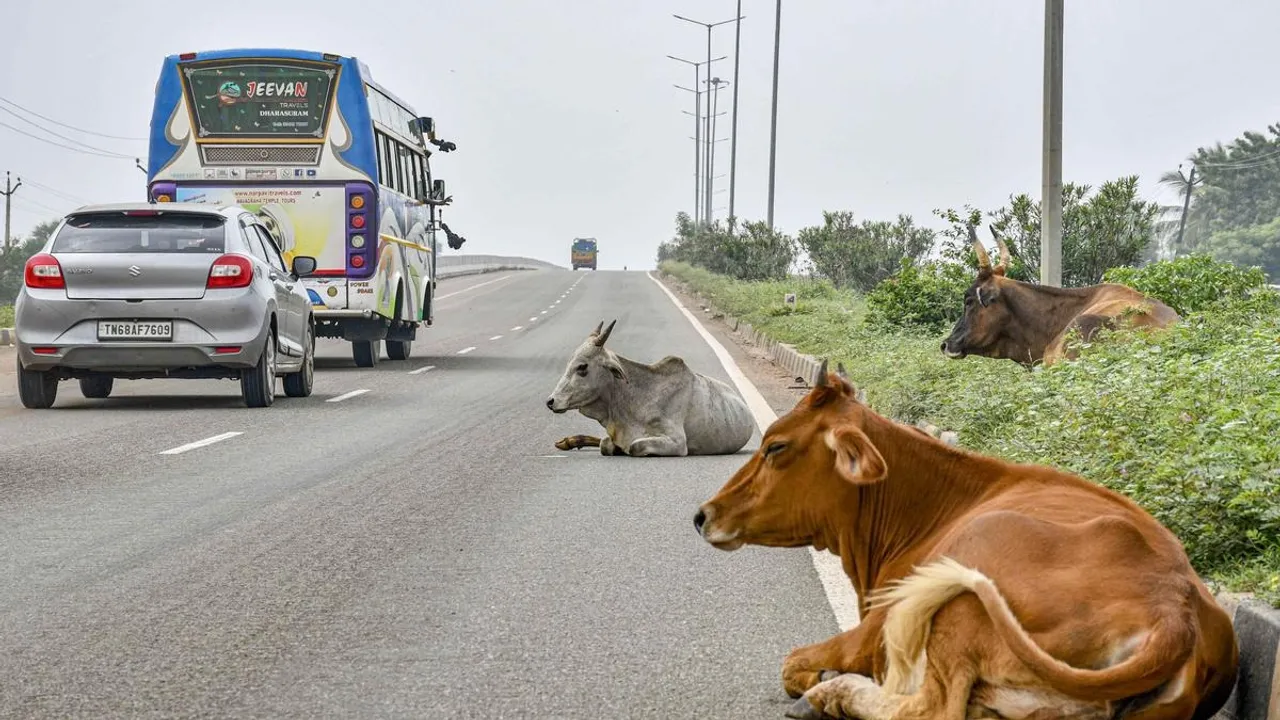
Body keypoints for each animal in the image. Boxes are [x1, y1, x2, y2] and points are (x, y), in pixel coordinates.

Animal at [694, 360, 1238, 720]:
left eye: (775, 447)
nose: (703, 515)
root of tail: (1174, 608)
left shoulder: (873, 631)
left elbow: (792, 664)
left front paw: (820, 682)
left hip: (960, 595)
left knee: (932, 709)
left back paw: (834, 694)